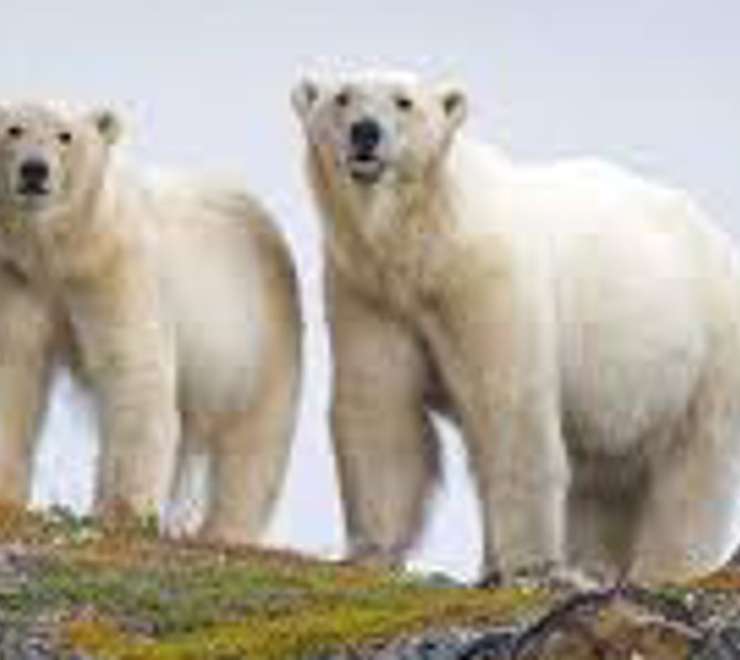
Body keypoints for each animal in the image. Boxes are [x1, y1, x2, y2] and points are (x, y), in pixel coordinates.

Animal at [0, 101, 301, 545]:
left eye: (65, 135)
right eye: (14, 129)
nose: (34, 170)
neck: (61, 250)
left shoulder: (117, 271)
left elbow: (134, 375)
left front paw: (123, 514)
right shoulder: (21, 280)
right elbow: (16, 371)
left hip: (259, 334)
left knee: (254, 439)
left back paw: (225, 531)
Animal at [292, 69, 740, 586]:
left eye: (404, 102)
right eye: (342, 98)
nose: (365, 132)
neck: (428, 242)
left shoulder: (489, 281)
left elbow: (510, 410)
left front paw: (527, 565)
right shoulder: (371, 293)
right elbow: (380, 407)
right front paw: (370, 551)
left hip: (706, 353)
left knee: (692, 473)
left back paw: (664, 570)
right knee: (604, 482)